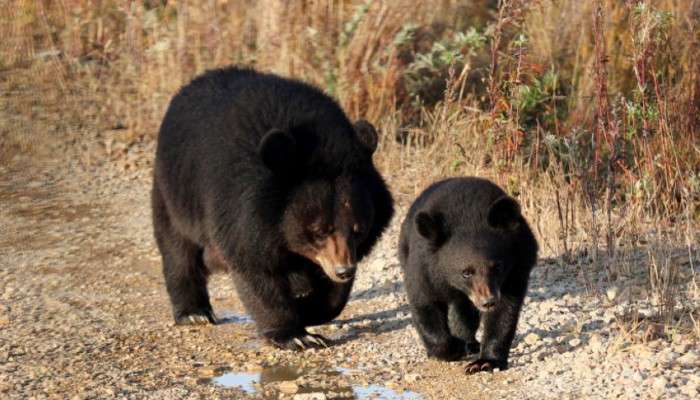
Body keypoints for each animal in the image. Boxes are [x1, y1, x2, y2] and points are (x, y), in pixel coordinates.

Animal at [152, 67, 394, 348]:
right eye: (319, 231)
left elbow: (330, 292)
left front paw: (311, 309)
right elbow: (256, 270)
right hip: (174, 192)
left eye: (358, 230)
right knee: (178, 248)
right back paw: (193, 313)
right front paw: (298, 336)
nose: (344, 270)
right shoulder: (239, 206)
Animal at [400, 177, 536, 372]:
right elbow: (424, 303)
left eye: (497, 267)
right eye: (466, 272)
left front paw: (485, 361)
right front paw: (451, 348)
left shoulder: (516, 267)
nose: (488, 301)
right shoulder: (423, 268)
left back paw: (469, 342)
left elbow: (505, 312)